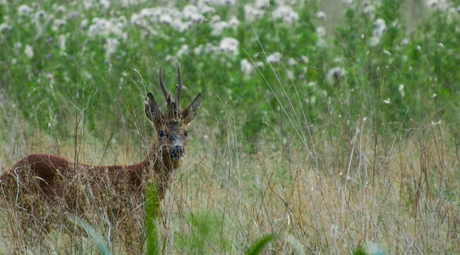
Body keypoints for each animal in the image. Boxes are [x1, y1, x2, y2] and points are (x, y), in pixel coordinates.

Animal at [0, 64, 201, 216]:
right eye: (161, 132)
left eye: (186, 132)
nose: (177, 149)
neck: (139, 179)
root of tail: (6, 174)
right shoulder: (129, 222)